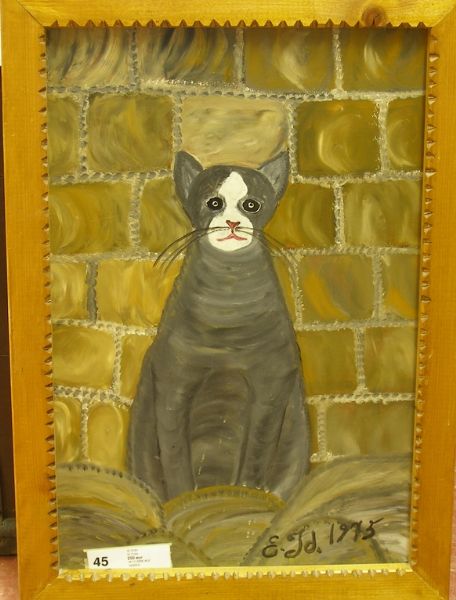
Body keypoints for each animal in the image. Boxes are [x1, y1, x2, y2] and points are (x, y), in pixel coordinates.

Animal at [127, 150, 310, 502]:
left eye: (251, 204)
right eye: (214, 203)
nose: (233, 222)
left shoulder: (271, 388)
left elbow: (256, 453)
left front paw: (246, 492)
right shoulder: (173, 384)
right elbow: (174, 455)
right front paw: (183, 498)